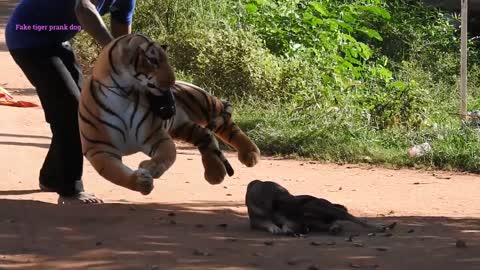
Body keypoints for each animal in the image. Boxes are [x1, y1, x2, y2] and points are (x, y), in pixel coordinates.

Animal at [246, 179, 396, 236]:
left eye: (293, 216)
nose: (304, 230)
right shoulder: (256, 221)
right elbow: (267, 223)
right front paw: (275, 227)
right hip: (317, 218)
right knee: (333, 222)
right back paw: (334, 227)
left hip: (320, 208)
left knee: (351, 217)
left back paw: (379, 226)